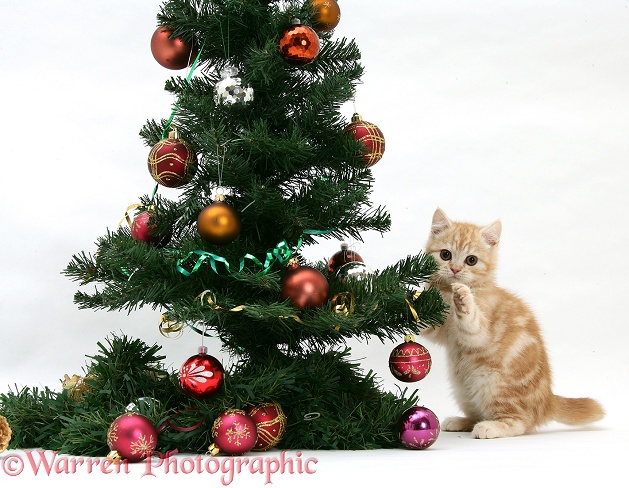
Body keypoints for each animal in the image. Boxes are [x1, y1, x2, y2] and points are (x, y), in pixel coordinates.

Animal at [422, 207, 604, 438]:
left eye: (471, 260)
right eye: (445, 255)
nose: (454, 270)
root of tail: (547, 401)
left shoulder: (480, 329)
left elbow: (473, 325)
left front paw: (463, 298)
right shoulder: (442, 331)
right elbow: (427, 324)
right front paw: (411, 297)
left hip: (493, 382)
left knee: (520, 422)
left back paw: (490, 427)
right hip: (462, 388)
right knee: (478, 412)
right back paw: (462, 421)